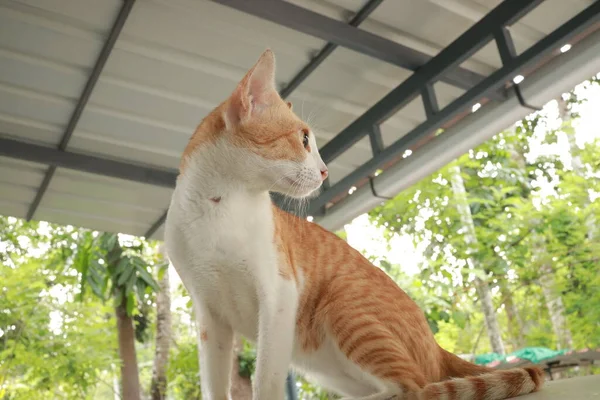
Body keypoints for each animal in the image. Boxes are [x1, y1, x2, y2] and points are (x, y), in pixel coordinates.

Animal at [163, 50, 544, 400]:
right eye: (304, 140)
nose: (325, 171)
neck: (218, 208)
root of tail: (438, 348)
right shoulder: (210, 316)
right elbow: (213, 383)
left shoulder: (279, 294)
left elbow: (266, 380)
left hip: (344, 305)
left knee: (414, 385)